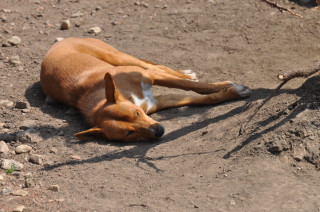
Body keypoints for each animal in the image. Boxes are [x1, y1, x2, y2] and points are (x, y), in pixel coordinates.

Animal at [40, 38, 250, 142]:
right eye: (129, 133)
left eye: (136, 114)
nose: (159, 130)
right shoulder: (159, 102)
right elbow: (204, 99)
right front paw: (228, 93)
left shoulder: (150, 78)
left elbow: (197, 87)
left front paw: (234, 89)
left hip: (122, 59)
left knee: (159, 67)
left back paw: (185, 74)